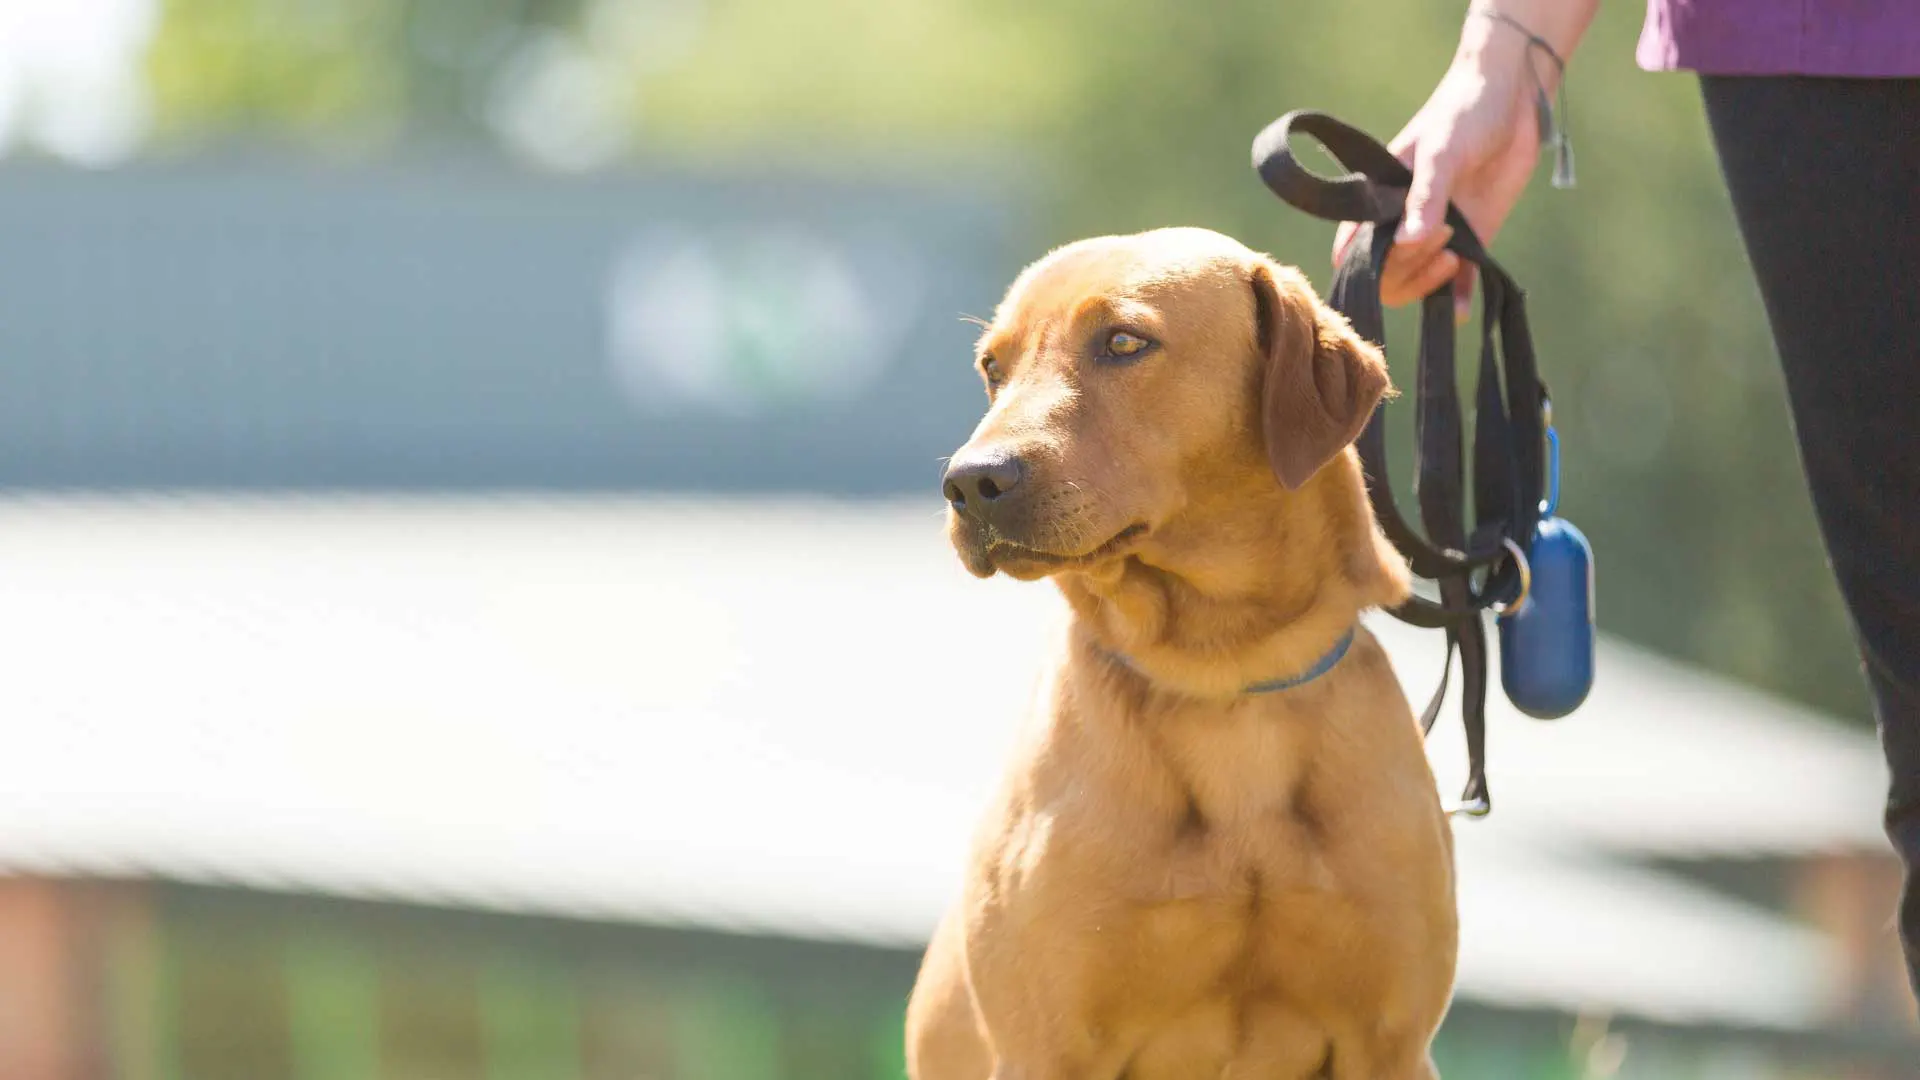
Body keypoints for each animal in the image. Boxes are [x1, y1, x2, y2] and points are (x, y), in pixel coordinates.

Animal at [906, 226, 1443, 1076]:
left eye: (1124, 342)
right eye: (993, 367)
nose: (970, 484)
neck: (1225, 675)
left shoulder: (1390, 1043)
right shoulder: (1046, 1045)